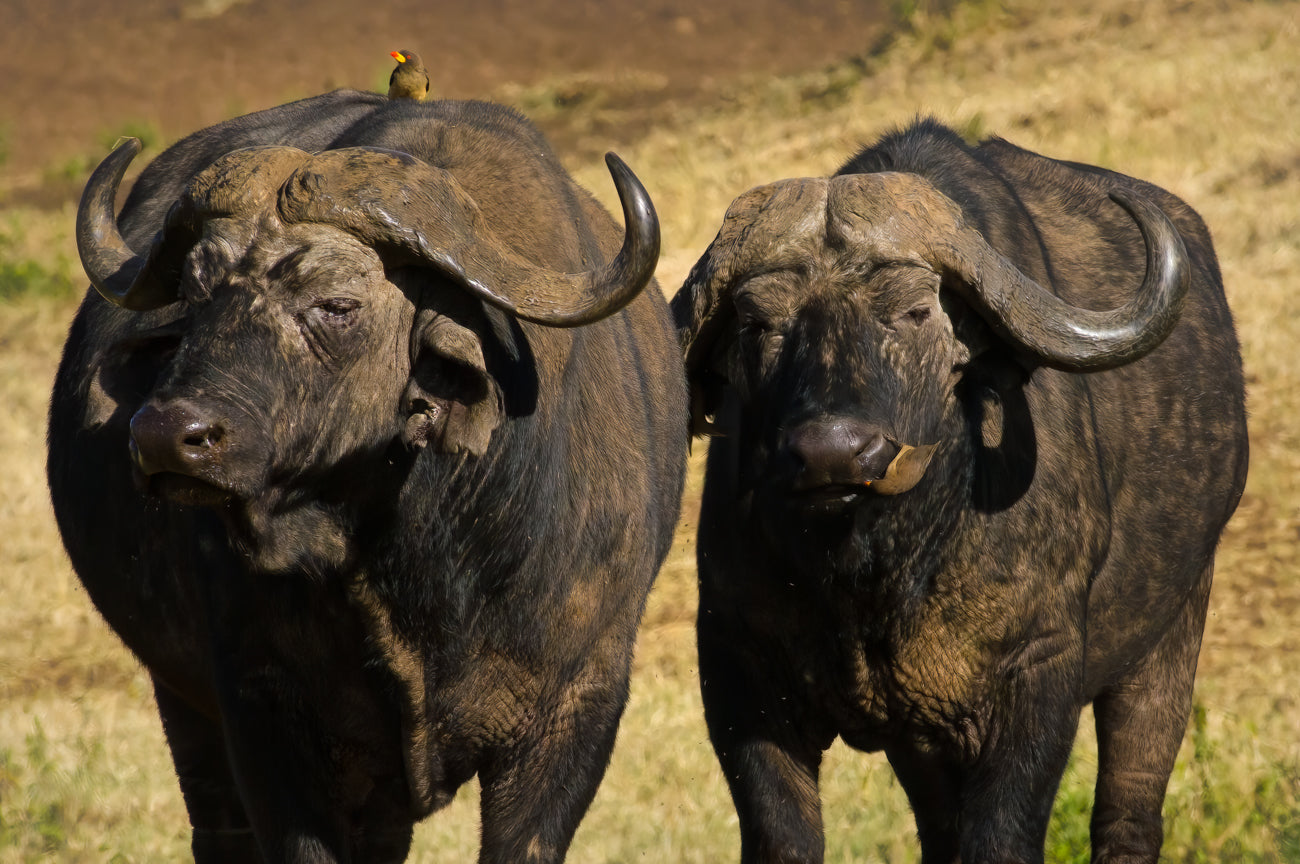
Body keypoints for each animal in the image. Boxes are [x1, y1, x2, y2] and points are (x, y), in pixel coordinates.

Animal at [45, 88, 686, 862]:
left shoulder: (576, 707)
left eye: (338, 305)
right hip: (186, 707)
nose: (167, 436)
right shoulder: (261, 711)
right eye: (195, 294)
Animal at [670, 116, 1248, 862]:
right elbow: (783, 838)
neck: (876, 575)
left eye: (917, 311)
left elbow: (1000, 837)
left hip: (1171, 634)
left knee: (1128, 813)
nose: (835, 453)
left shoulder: (1036, 677)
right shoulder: (740, 679)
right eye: (756, 323)